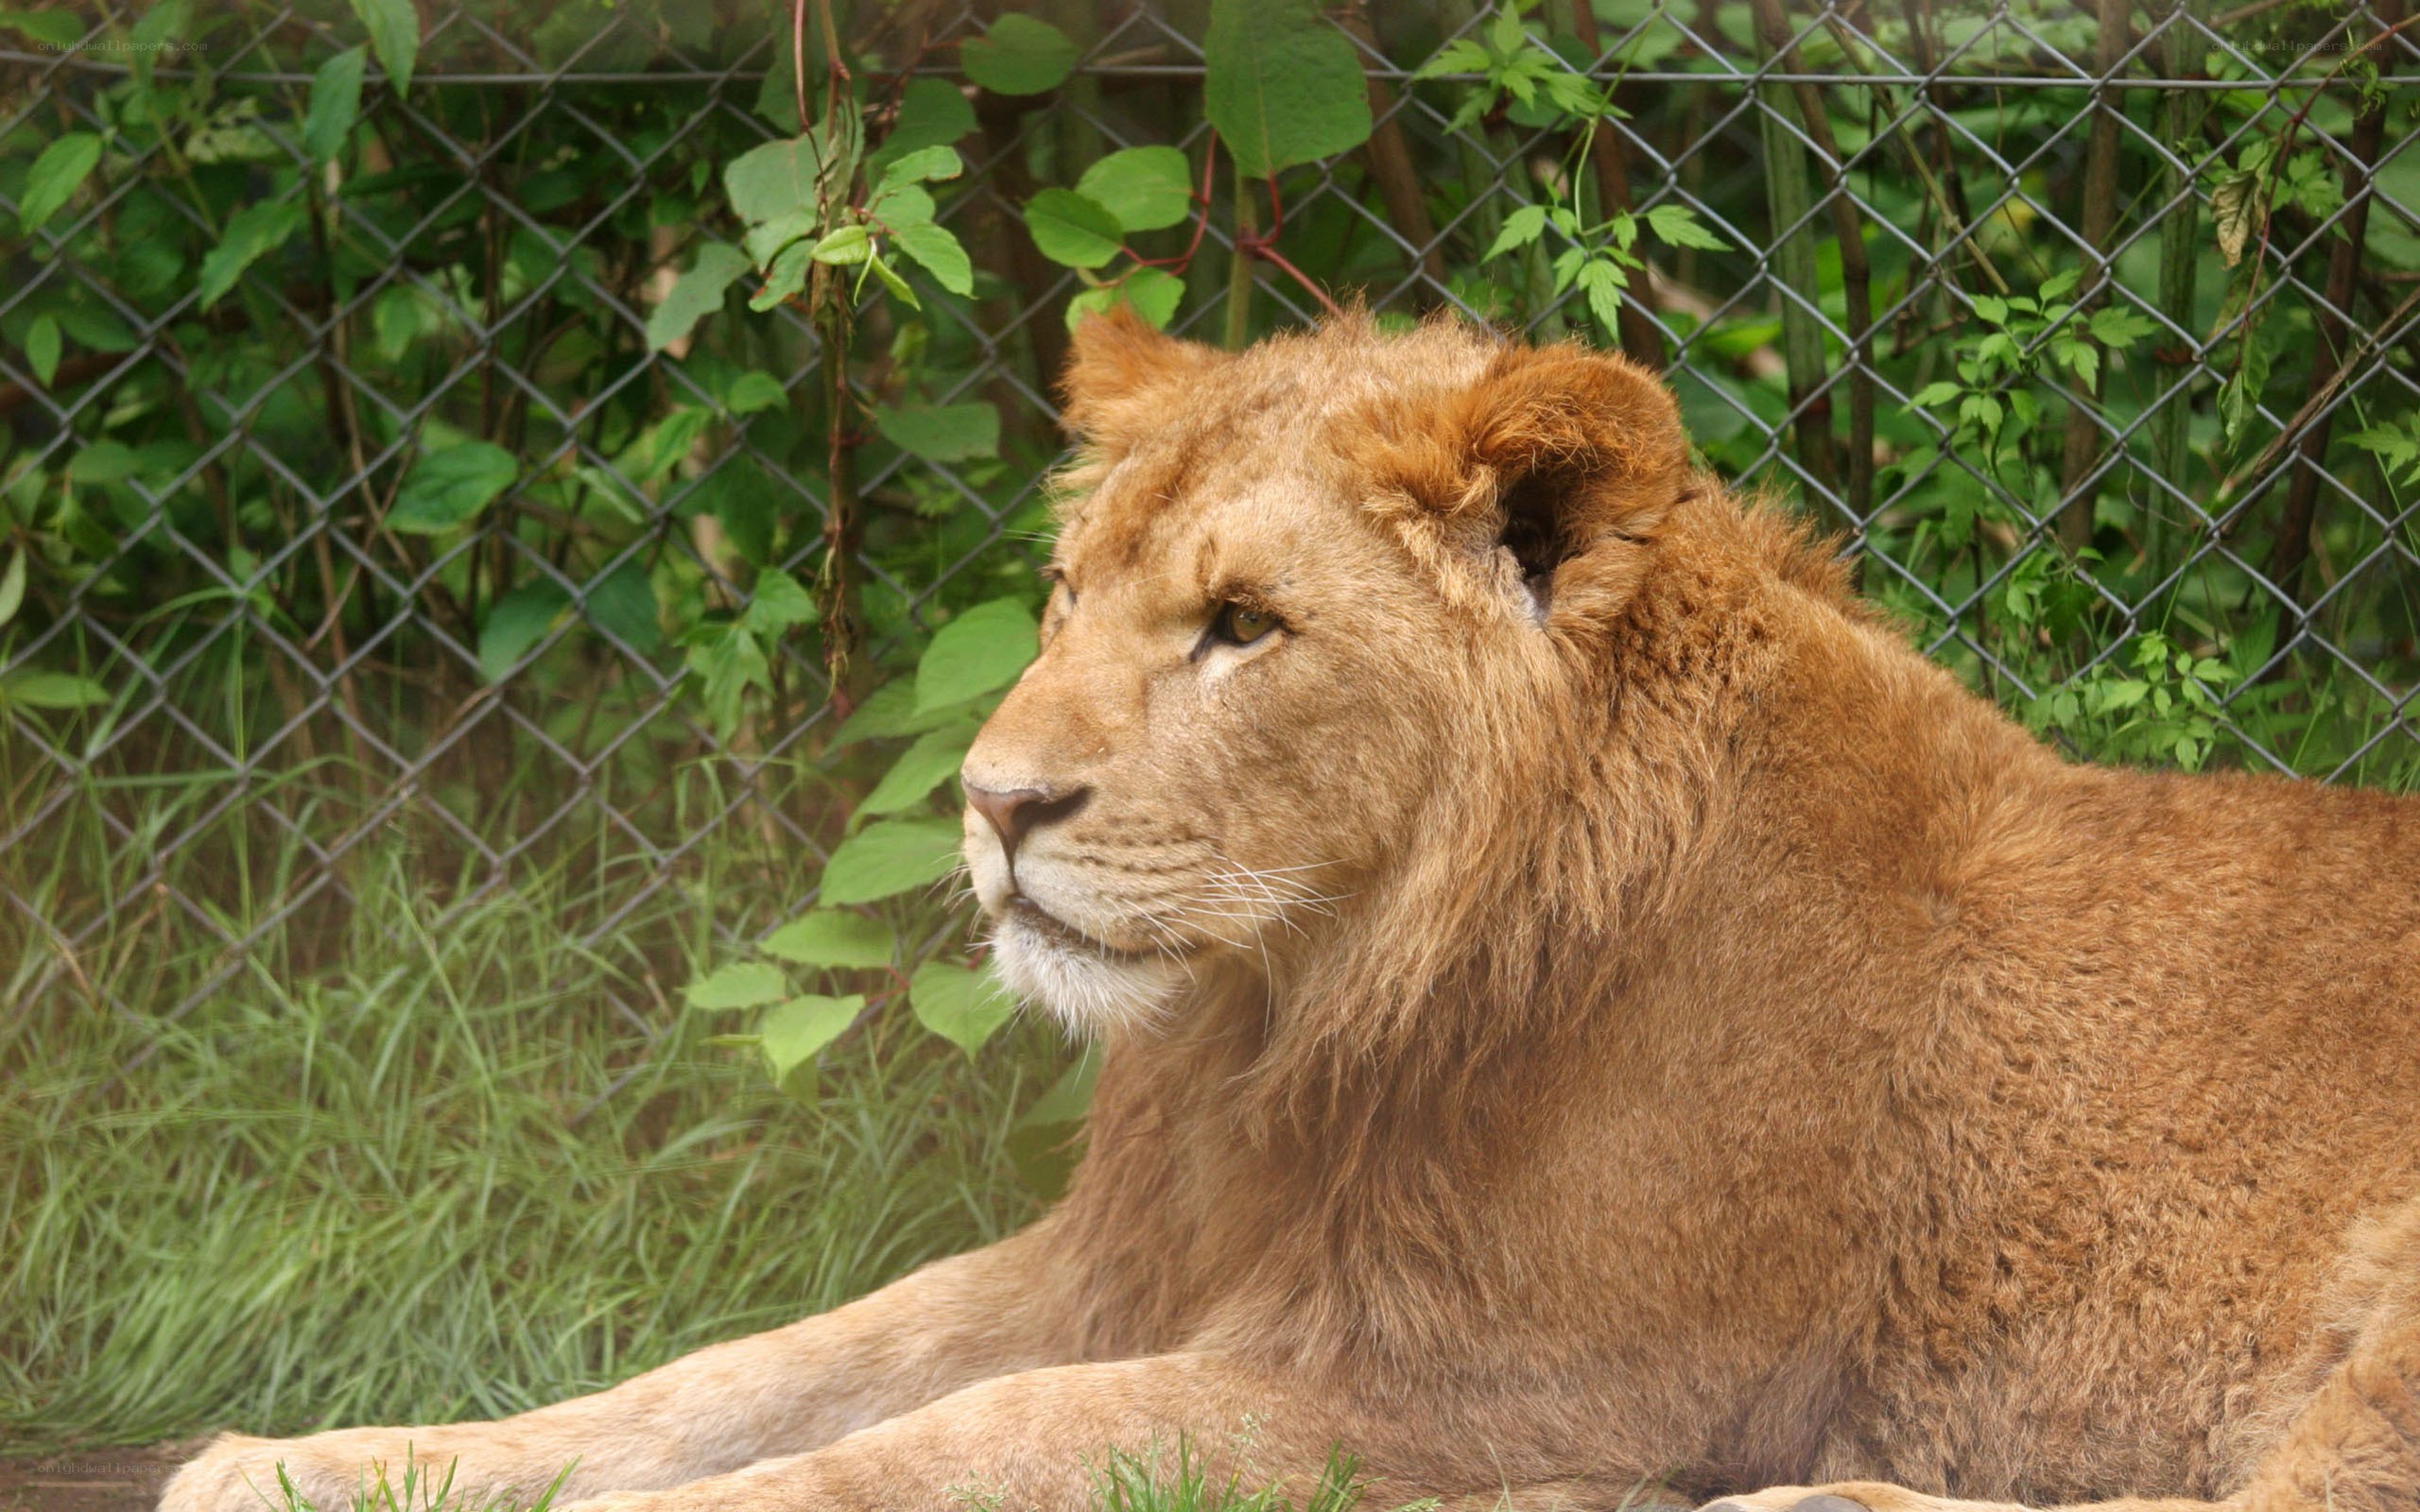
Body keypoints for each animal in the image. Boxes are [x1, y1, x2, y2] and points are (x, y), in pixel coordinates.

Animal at [163, 313, 2420, 1512]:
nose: (990, 807)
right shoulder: (1121, 1260)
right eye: (1067, 597)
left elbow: (944, 1441)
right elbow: (737, 1372)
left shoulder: (1473, 1379)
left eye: (1242, 626)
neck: (1288, 1022)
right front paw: (316, 1461)